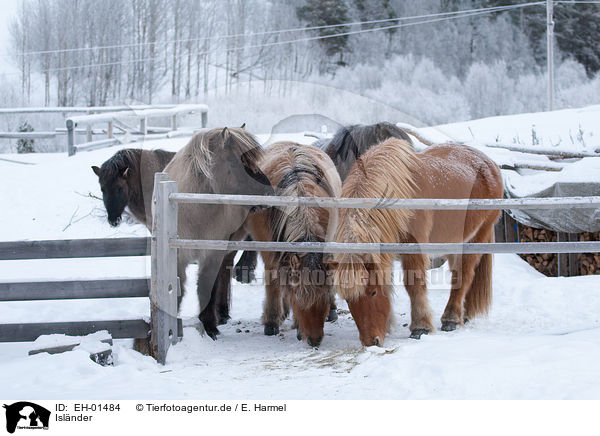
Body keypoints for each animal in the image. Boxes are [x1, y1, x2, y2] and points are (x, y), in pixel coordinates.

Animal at [247, 141, 342, 346]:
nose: (315, 340)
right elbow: (275, 282)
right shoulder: (270, 251)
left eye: (323, 296)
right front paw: (272, 321)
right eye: (298, 297)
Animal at [330, 138, 504, 346]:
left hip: (477, 237)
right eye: (348, 300)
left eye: (372, 292)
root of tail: (490, 164)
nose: (371, 342)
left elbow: (414, 285)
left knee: (465, 275)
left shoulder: (414, 247)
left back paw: (451, 318)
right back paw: (464, 314)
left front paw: (420, 327)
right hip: (455, 241)